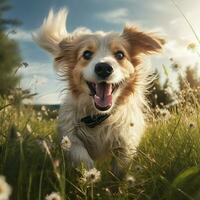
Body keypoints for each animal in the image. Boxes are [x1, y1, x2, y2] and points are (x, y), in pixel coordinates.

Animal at [33, 7, 163, 177]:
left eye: (120, 54)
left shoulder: (126, 141)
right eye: (87, 54)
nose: (103, 68)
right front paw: (91, 175)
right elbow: (80, 155)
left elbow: (121, 165)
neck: (99, 117)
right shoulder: (69, 133)